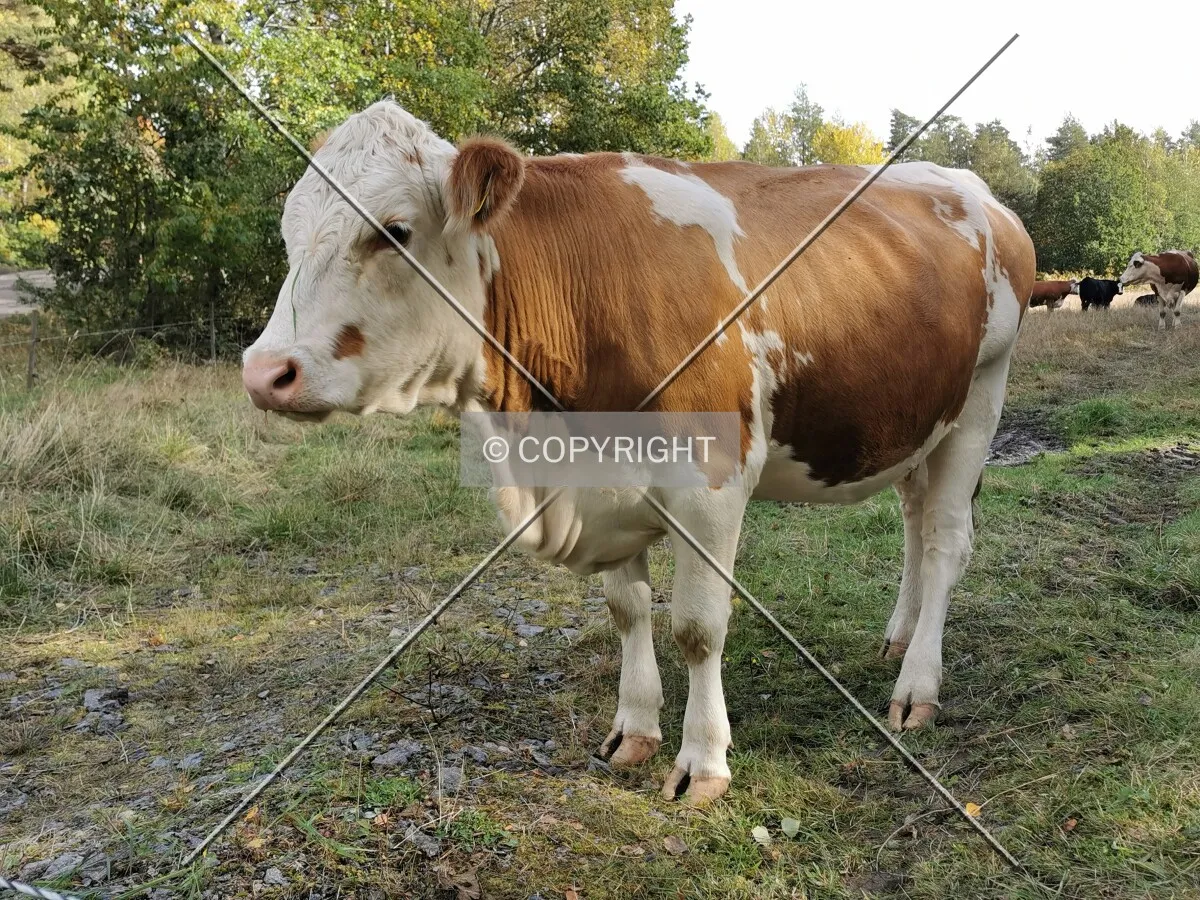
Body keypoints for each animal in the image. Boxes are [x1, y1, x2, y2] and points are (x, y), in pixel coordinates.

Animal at [241, 101, 1036, 804]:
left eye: (394, 231)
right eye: (287, 234)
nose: (265, 371)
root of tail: (976, 191)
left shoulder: (712, 483)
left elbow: (697, 628)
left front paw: (702, 761)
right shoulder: (603, 479)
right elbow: (627, 609)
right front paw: (635, 729)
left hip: (980, 400)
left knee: (945, 541)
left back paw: (917, 685)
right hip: (915, 423)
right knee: (914, 524)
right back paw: (898, 638)